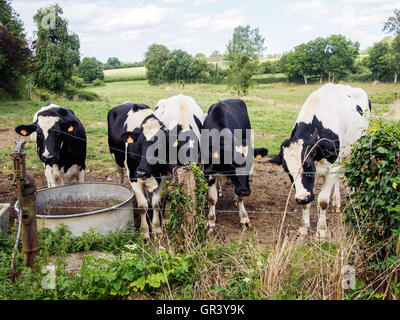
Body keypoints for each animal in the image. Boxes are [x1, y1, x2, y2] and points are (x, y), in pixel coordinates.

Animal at [108, 101, 172, 239]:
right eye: (138, 145)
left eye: (159, 146)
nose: (141, 172)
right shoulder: (133, 176)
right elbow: (142, 206)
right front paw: (145, 232)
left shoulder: (162, 176)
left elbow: (156, 203)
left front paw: (156, 228)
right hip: (117, 160)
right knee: (120, 175)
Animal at [203, 99, 268, 231]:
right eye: (232, 165)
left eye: (250, 165)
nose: (245, 191)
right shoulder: (208, 170)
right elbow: (212, 198)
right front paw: (211, 219)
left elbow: (239, 198)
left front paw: (244, 218)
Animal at [270, 82, 370, 238]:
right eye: (287, 171)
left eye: (308, 165)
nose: (302, 198)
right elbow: (308, 202)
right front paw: (303, 228)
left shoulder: (331, 168)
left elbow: (323, 200)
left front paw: (322, 230)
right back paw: (336, 202)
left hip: (357, 148)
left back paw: (353, 196)